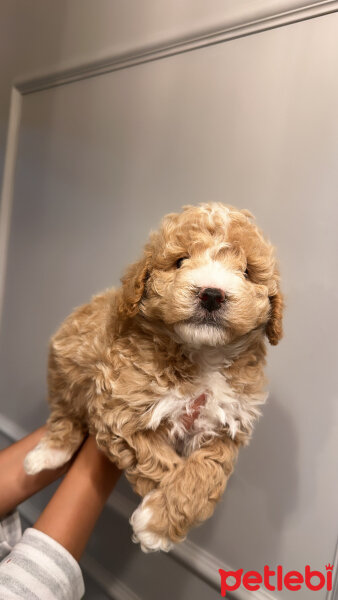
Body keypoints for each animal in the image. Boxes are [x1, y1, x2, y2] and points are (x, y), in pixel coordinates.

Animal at [23, 203, 282, 552]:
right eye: (181, 261)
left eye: (246, 272)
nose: (212, 294)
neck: (202, 354)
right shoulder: (119, 410)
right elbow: (159, 461)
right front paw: (157, 522)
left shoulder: (227, 423)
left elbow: (207, 470)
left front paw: (159, 523)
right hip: (65, 367)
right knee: (65, 414)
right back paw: (49, 453)